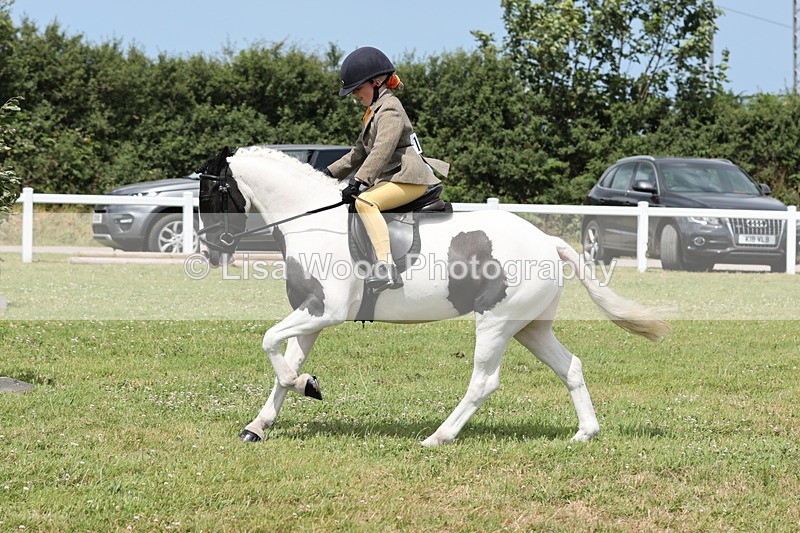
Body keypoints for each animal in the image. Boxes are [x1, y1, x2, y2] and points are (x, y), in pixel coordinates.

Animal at [197, 146, 670, 446]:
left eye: (215, 192)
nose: (211, 250)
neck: (311, 221)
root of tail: (549, 242)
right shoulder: (309, 314)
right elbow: (284, 364)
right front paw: (261, 423)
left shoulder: (324, 311)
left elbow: (269, 343)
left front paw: (306, 387)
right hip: (529, 327)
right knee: (570, 366)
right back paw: (585, 433)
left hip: (496, 323)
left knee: (484, 381)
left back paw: (438, 437)